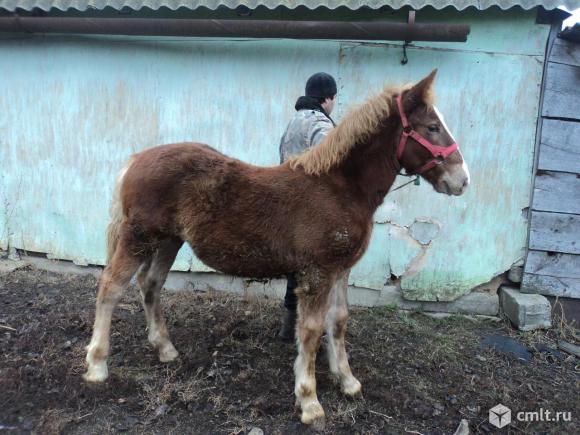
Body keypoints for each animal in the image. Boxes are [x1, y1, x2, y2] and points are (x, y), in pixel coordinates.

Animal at [84, 70, 468, 428]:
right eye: (432, 127)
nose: (462, 180)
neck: (339, 188)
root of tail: (136, 159)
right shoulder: (316, 273)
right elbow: (310, 331)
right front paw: (310, 402)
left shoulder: (340, 270)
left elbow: (339, 321)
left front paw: (347, 381)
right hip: (138, 237)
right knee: (110, 287)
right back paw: (97, 365)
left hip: (168, 240)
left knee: (151, 284)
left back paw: (165, 349)